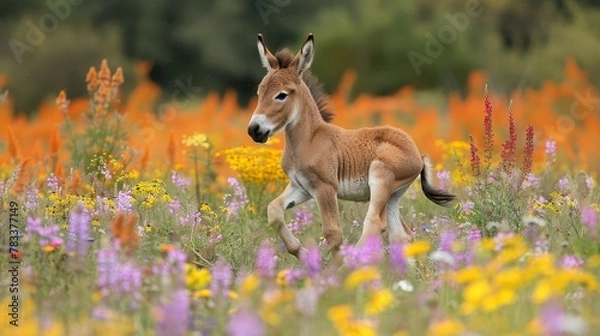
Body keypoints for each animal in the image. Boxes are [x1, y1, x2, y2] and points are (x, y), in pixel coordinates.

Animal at [247, 34, 454, 266]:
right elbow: (273, 211)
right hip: (393, 195)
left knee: (375, 223)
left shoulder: (325, 188)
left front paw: (334, 272)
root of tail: (416, 153)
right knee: (402, 234)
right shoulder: (301, 188)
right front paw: (305, 255)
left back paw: (355, 264)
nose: (254, 130)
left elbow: (333, 233)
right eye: (259, 92)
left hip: (380, 178)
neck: (309, 139)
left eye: (281, 95)